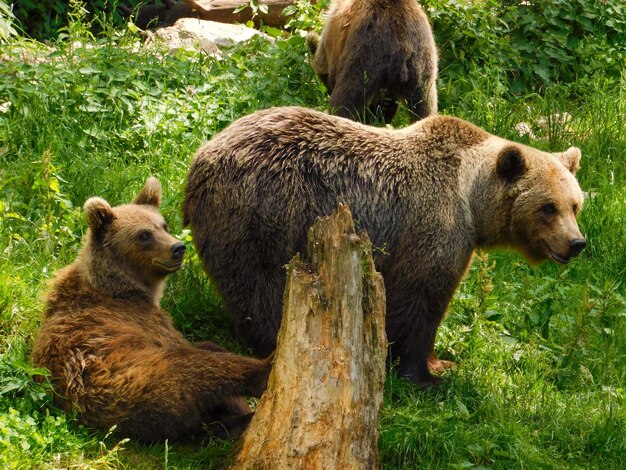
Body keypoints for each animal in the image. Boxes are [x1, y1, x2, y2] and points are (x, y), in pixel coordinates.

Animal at [30, 178, 272, 442]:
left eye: (163, 225)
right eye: (144, 234)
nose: (178, 247)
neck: (121, 286)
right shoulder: (140, 316)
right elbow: (180, 342)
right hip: (145, 377)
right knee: (199, 367)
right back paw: (263, 371)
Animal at [182, 108, 584, 388]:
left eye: (575, 205)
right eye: (548, 207)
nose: (576, 243)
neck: (471, 199)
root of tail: (201, 156)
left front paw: (441, 361)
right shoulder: (431, 224)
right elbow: (420, 297)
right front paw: (425, 374)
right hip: (265, 211)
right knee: (259, 288)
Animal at [304, 0, 436, 124]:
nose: (328, 91)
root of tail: (403, 49)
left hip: (364, 57)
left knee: (345, 101)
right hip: (422, 70)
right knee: (424, 107)